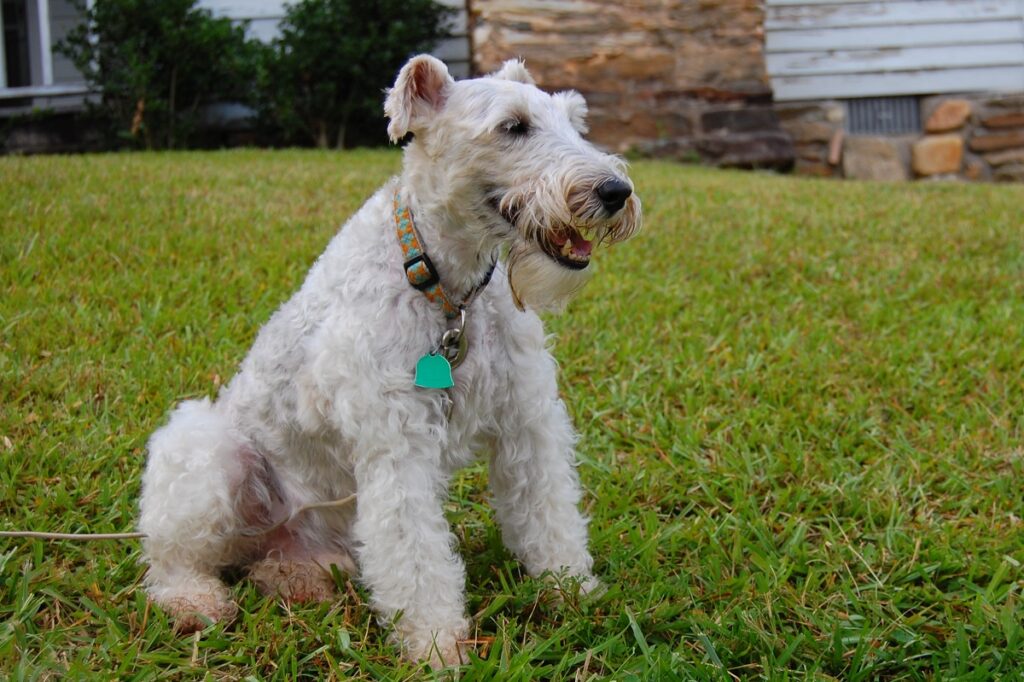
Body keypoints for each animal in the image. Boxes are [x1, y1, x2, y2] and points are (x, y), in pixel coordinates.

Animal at [138, 53, 638, 663]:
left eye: (574, 121)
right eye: (513, 126)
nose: (616, 191)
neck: (445, 286)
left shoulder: (528, 421)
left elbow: (548, 513)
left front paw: (571, 589)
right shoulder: (397, 444)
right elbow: (415, 551)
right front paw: (436, 644)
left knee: (273, 565)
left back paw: (298, 581)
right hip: (206, 453)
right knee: (173, 559)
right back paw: (194, 602)